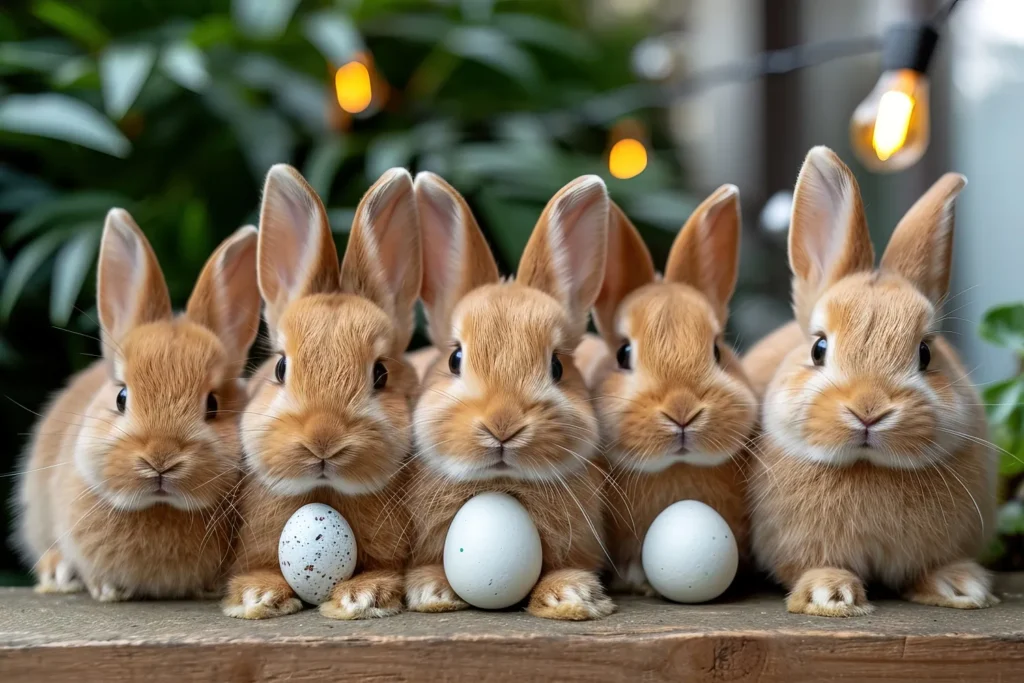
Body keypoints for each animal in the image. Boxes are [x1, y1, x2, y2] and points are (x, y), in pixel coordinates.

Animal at [221, 165, 420, 620]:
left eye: (381, 373)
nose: (322, 440)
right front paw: (257, 596)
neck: (324, 493)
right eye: (280, 367)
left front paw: (361, 597)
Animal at [404, 172, 614, 621]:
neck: (501, 485)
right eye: (455, 358)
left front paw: (570, 596)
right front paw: (432, 591)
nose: (503, 426)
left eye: (557, 366)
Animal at [744, 146, 998, 617]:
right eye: (818, 349)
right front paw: (830, 596)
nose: (868, 410)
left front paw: (959, 587)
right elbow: (815, 567)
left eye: (926, 353)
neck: (869, 466)